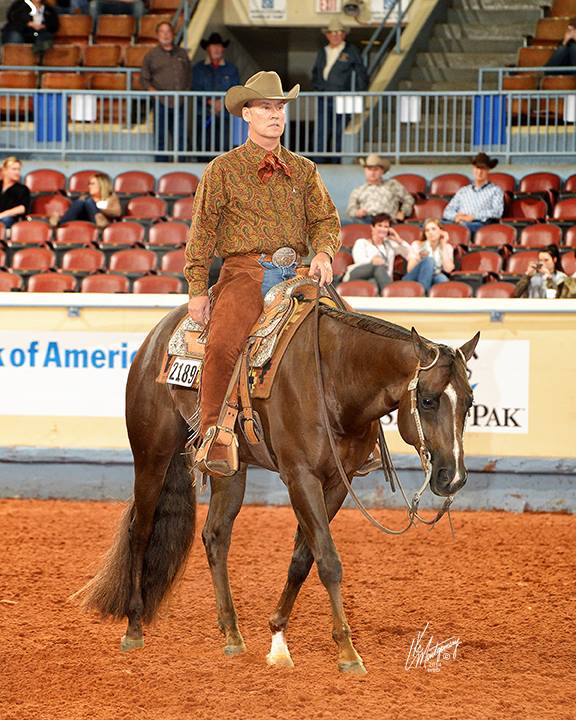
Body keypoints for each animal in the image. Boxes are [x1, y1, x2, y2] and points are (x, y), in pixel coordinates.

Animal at [74, 300, 480, 676]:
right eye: (427, 400)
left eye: (470, 402)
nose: (453, 477)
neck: (334, 377)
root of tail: (156, 337)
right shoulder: (301, 476)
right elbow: (328, 560)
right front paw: (347, 652)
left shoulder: (339, 481)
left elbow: (304, 557)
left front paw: (278, 637)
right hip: (152, 453)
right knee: (141, 531)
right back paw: (134, 626)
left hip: (229, 468)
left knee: (215, 535)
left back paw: (232, 634)